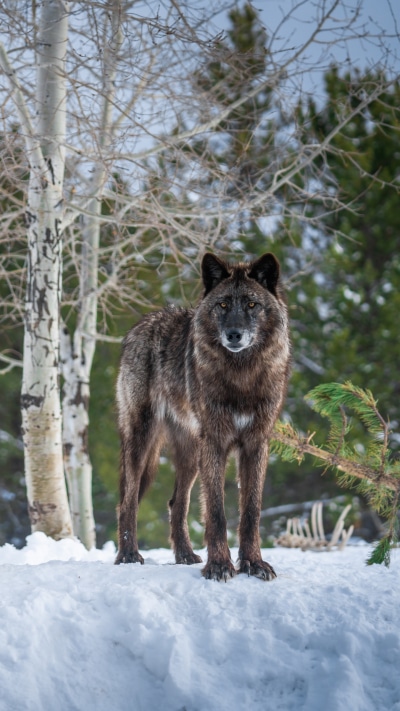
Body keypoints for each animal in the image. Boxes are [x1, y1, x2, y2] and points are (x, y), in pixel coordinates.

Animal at [115, 252, 291, 581]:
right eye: (222, 305)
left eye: (252, 304)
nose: (234, 334)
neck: (241, 377)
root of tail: (143, 322)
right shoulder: (216, 444)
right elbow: (217, 513)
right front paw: (220, 565)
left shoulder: (256, 445)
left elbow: (251, 512)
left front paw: (253, 563)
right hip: (141, 440)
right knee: (127, 501)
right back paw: (128, 555)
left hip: (191, 452)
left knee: (176, 502)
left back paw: (184, 554)